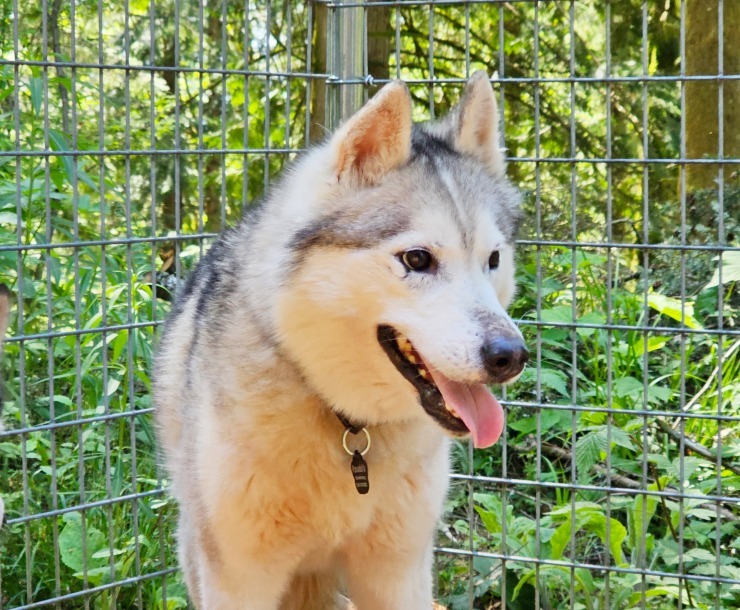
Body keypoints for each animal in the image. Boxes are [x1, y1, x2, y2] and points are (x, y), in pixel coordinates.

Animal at [156, 72, 528, 608]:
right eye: (418, 259)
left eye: (493, 259)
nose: (511, 355)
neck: (348, 425)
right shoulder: (238, 577)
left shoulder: (397, 573)